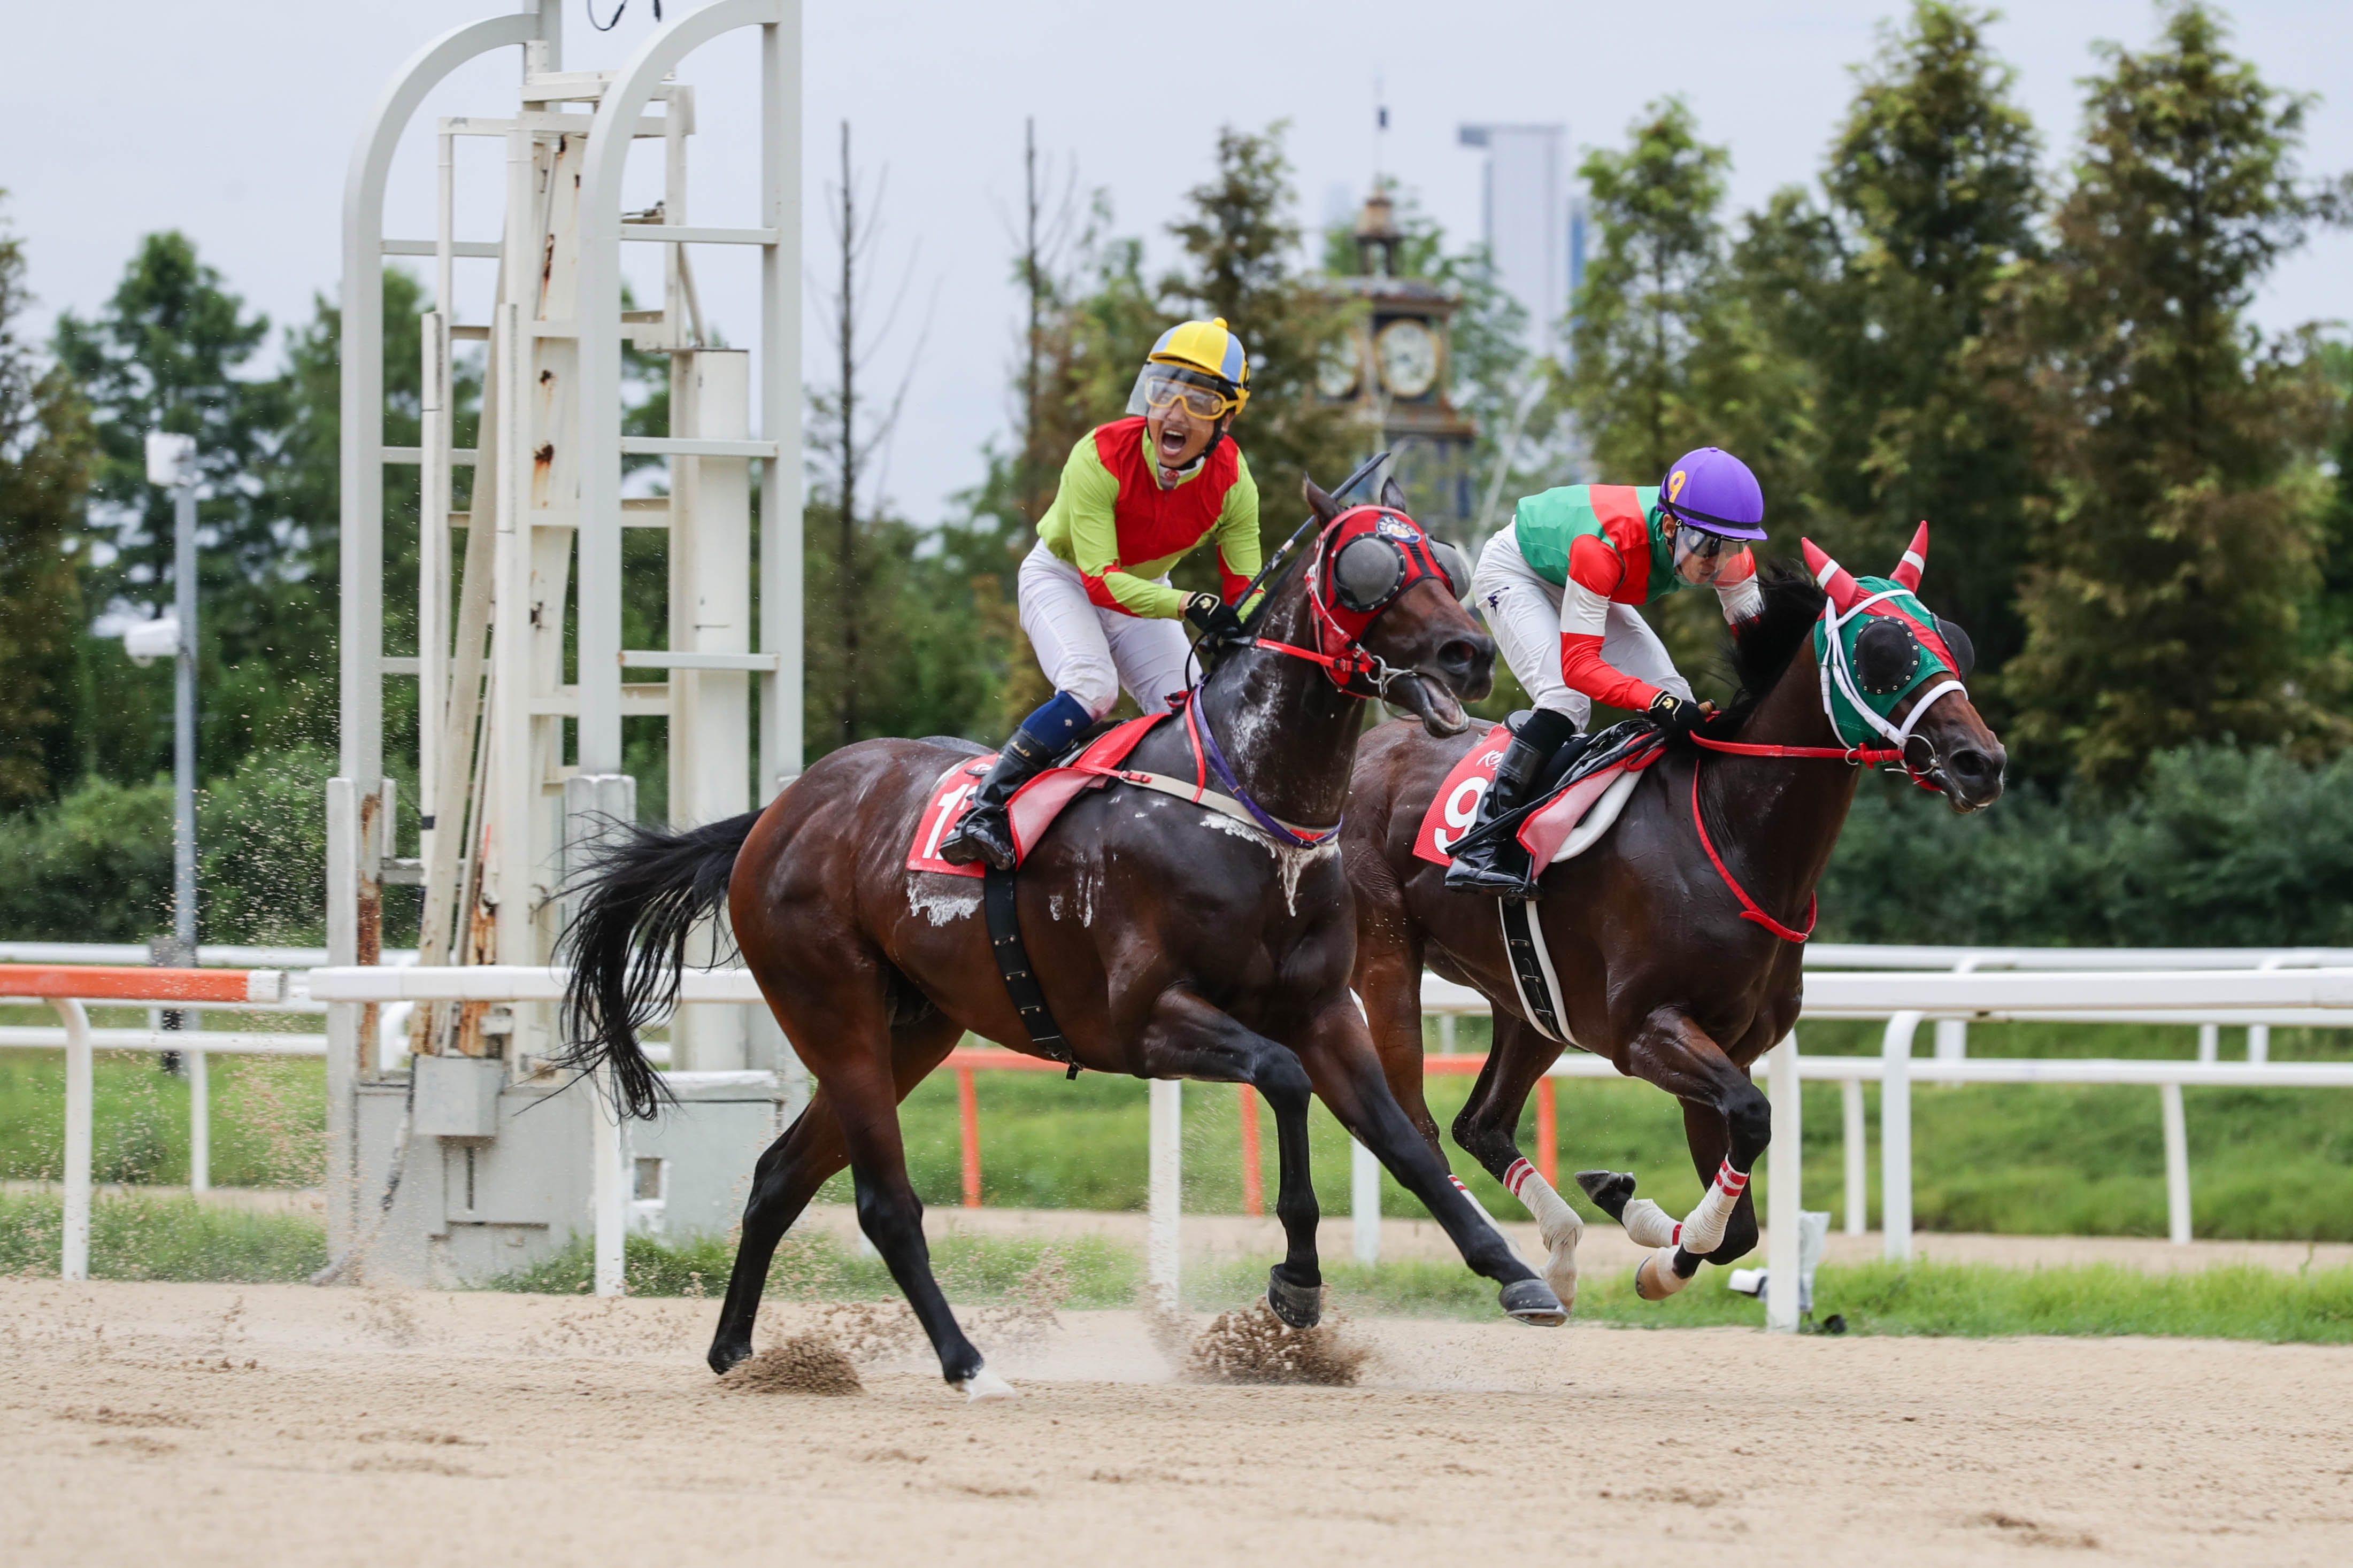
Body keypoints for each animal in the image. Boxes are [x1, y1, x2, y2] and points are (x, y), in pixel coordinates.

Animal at [560, 480, 1572, 1401]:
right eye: (1366, 568)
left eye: (1445, 562)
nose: (1470, 653)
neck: (1249, 804)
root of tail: (777, 814)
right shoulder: (1145, 1019)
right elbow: (1283, 1080)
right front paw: (1297, 1281)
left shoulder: (1324, 1006)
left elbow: (1400, 1136)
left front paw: (1515, 1274)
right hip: (830, 1007)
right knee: (884, 1203)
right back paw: (968, 1363)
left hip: (914, 1027)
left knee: (779, 1175)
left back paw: (740, 1351)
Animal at [1345, 540, 2004, 1316]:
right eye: (1881, 650)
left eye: (1952, 641)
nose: (1980, 761)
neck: (1731, 834)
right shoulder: (1644, 1031)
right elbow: (1752, 1117)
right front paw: (1653, 1242)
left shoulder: (1727, 1045)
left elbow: (1740, 1221)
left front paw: (1641, 1226)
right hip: (1386, 959)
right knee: (1414, 1124)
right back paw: (1509, 1265)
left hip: (1531, 1000)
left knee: (1480, 1122)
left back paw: (1559, 1254)